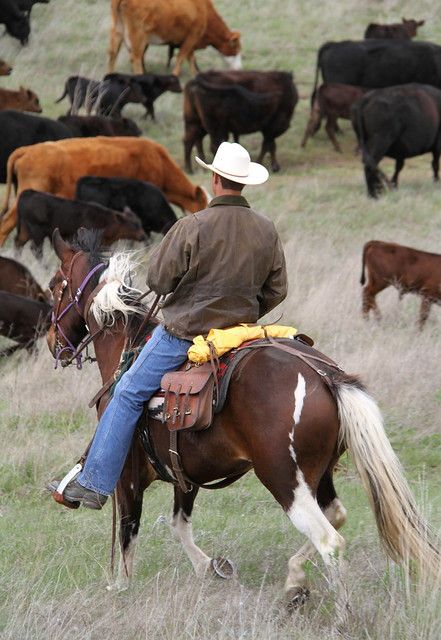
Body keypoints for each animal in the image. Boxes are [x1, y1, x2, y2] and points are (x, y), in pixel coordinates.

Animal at [15, 190, 147, 258]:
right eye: (135, 224)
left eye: (140, 223)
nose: (143, 236)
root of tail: (27, 193)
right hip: (37, 231)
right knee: (36, 250)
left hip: (25, 230)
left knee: (19, 243)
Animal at [46, 229, 438, 616]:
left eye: (54, 286)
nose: (51, 342)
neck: (126, 347)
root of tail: (326, 376)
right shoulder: (185, 474)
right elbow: (178, 524)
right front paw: (210, 567)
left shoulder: (127, 476)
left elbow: (128, 533)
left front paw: (121, 589)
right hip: (318, 474)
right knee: (336, 515)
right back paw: (294, 584)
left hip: (284, 479)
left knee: (329, 539)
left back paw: (341, 613)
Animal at [109, 0, 241, 76]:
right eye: (236, 51)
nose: (239, 68)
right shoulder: (193, 35)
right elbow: (181, 57)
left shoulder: (189, 40)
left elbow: (190, 58)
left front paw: (195, 75)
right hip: (138, 35)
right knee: (136, 58)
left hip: (117, 31)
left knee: (113, 54)